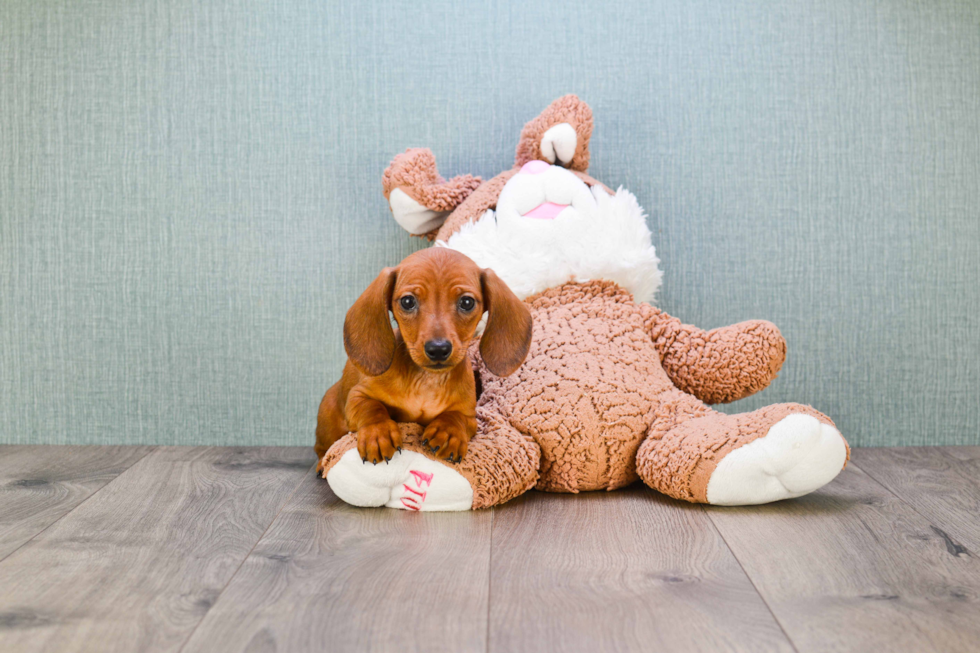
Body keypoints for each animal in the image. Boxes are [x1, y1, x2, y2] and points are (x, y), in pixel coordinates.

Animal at [314, 250, 532, 468]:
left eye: (467, 302)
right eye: (407, 301)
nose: (438, 349)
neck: (426, 381)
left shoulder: (469, 416)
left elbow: (456, 417)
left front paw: (448, 432)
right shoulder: (358, 395)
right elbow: (372, 408)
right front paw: (378, 432)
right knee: (322, 449)